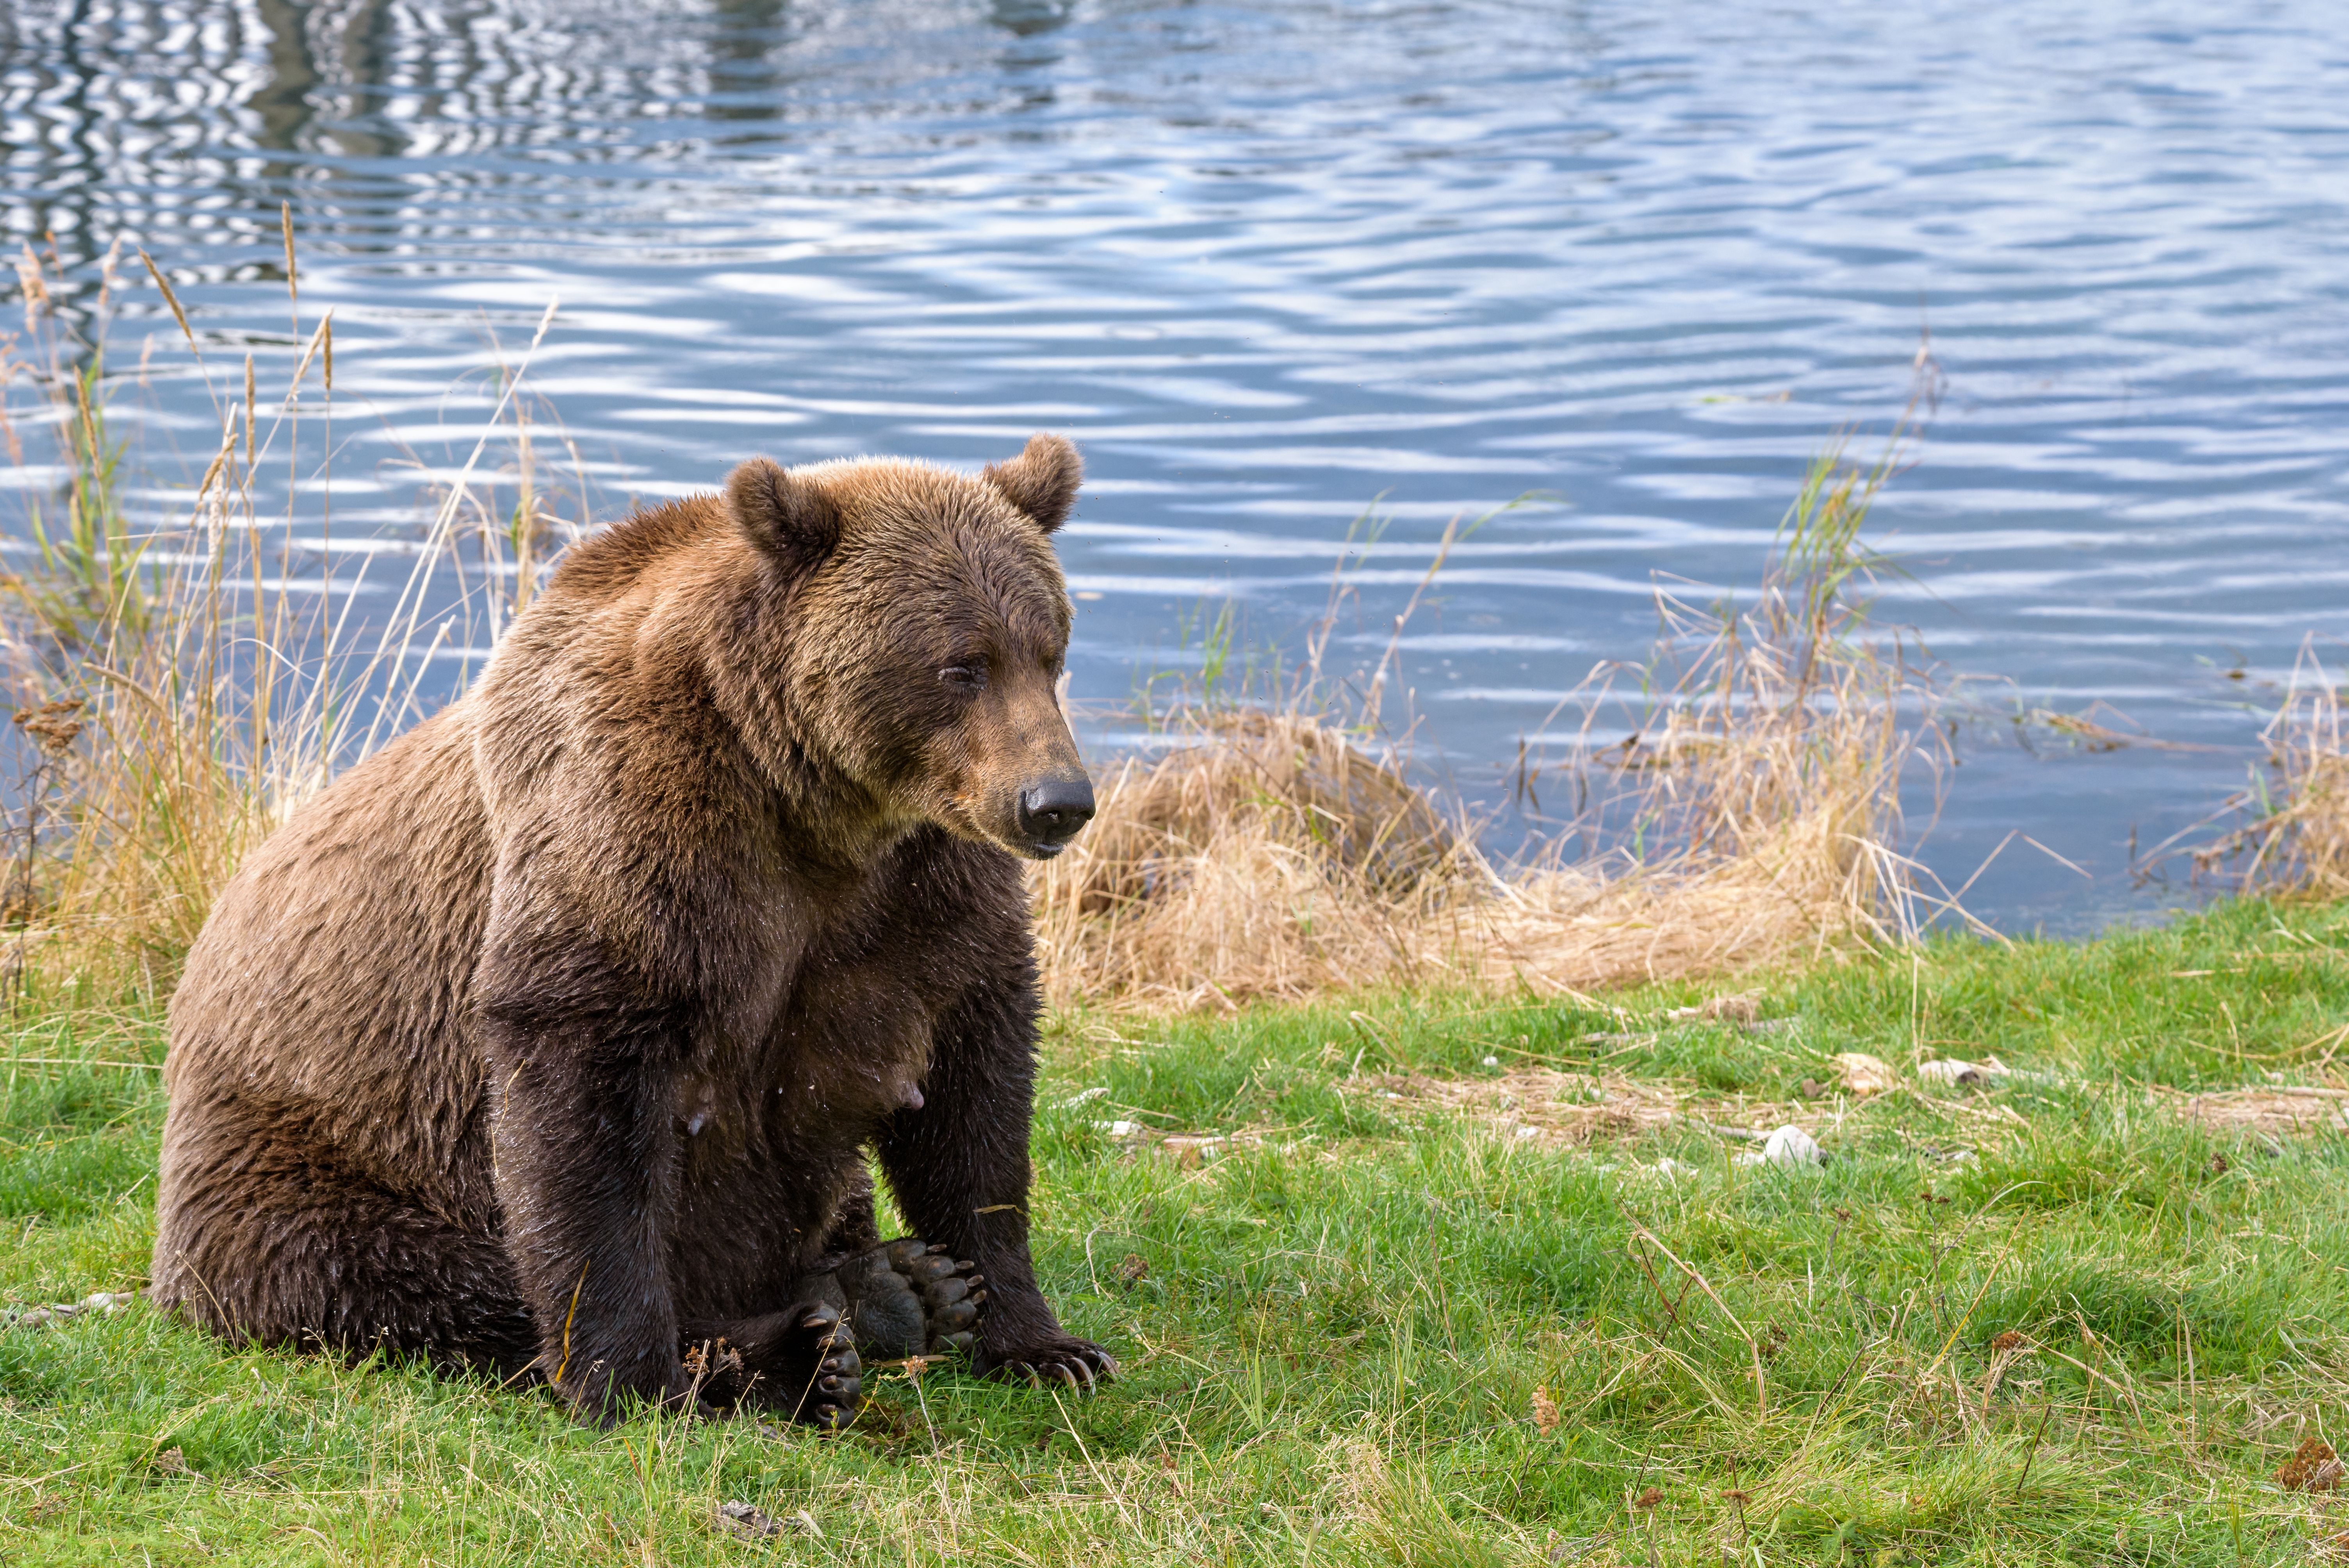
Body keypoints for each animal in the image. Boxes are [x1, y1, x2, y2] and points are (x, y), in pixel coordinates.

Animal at [150, 434, 1116, 1428]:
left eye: (1049, 650)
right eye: (960, 663)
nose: (1055, 802)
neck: (816, 806)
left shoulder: (925, 895)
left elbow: (973, 1098)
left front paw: (1039, 1339)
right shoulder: (637, 839)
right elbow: (585, 1111)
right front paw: (636, 1378)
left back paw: (896, 1285)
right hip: (312, 1162)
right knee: (430, 1277)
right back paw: (806, 1346)